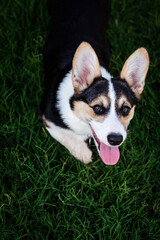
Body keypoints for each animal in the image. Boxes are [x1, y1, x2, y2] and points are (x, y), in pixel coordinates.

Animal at [40, 0, 149, 165]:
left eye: (125, 109)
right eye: (98, 108)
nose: (116, 140)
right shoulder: (48, 118)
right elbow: (64, 135)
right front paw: (83, 153)